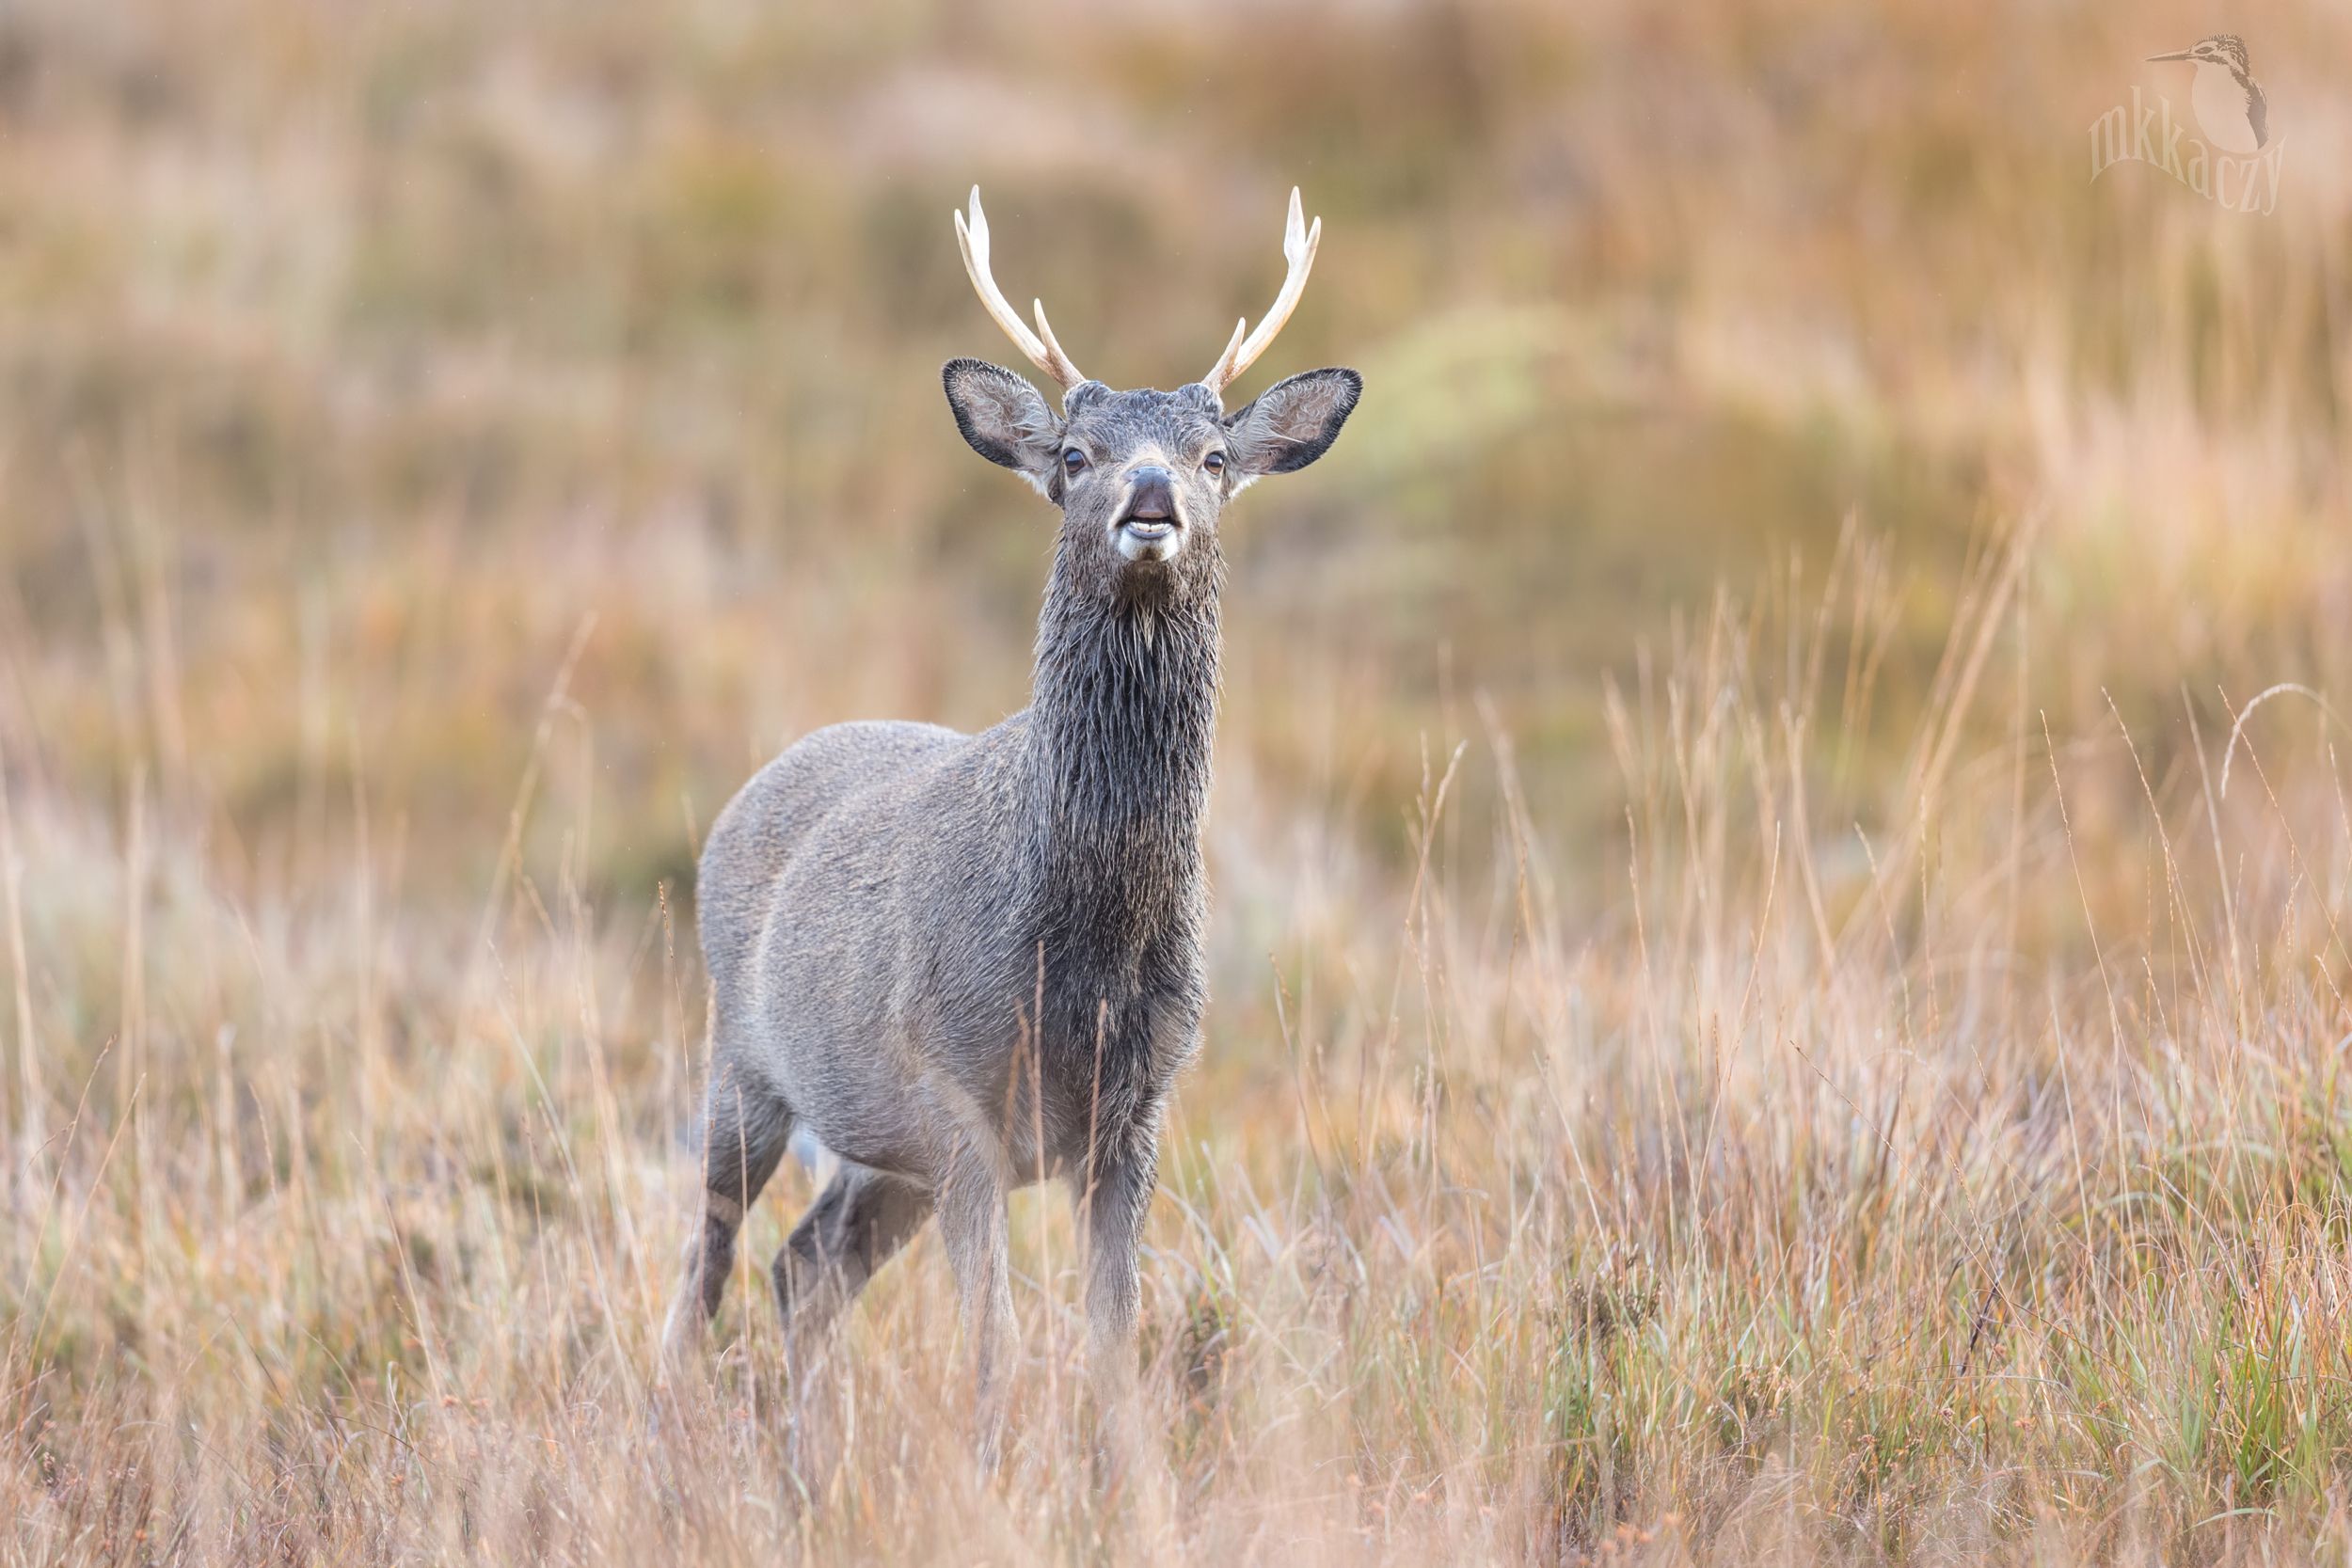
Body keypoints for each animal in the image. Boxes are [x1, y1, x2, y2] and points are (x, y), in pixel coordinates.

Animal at [663, 186, 1364, 1485]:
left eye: (1216, 457)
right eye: (1074, 456)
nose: (1151, 493)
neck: (1078, 951)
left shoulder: (1134, 1114)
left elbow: (1110, 1341)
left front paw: (1129, 1489)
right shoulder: (959, 1095)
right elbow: (991, 1345)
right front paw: (991, 1485)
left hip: (880, 1151)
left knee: (804, 1268)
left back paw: (806, 1472)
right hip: (744, 1063)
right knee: (709, 1267)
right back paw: (667, 1440)